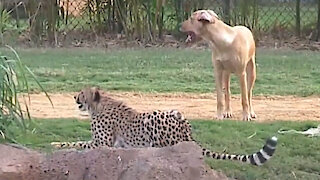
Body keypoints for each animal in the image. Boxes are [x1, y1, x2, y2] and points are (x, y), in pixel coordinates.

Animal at [51, 87, 276, 166]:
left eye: (82, 93)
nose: (74, 97)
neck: (100, 104)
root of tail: (188, 133)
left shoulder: (101, 144)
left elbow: (77, 143)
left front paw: (56, 145)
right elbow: (76, 141)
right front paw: (57, 143)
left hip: (156, 118)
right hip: (174, 110)